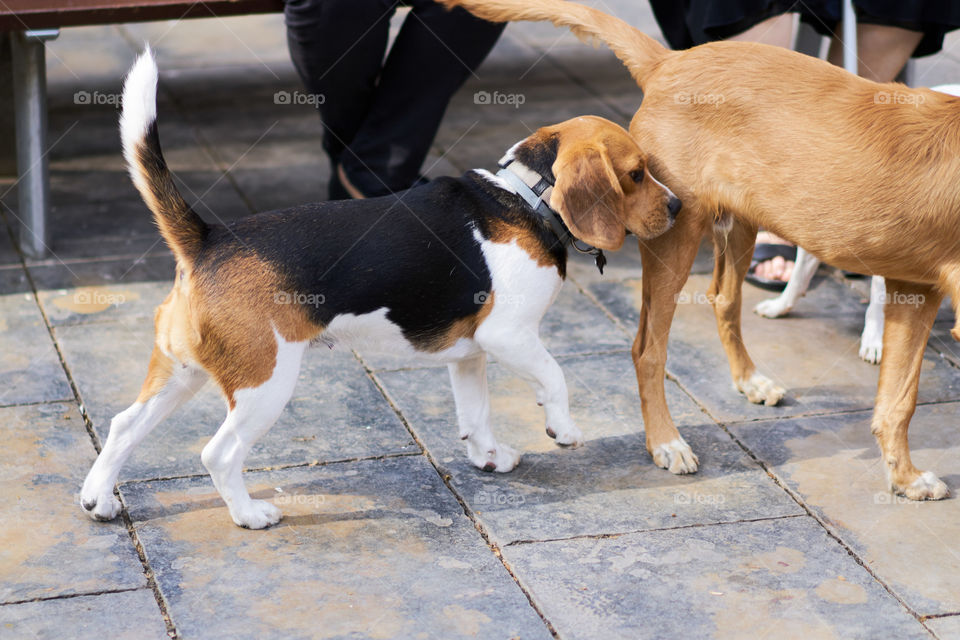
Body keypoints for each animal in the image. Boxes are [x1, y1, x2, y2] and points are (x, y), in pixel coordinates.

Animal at [446, 0, 960, 500]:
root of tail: (670, 60)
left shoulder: (914, 286)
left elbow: (899, 400)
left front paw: (905, 479)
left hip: (740, 225)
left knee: (724, 299)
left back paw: (749, 380)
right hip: (675, 233)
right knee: (647, 350)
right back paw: (666, 442)